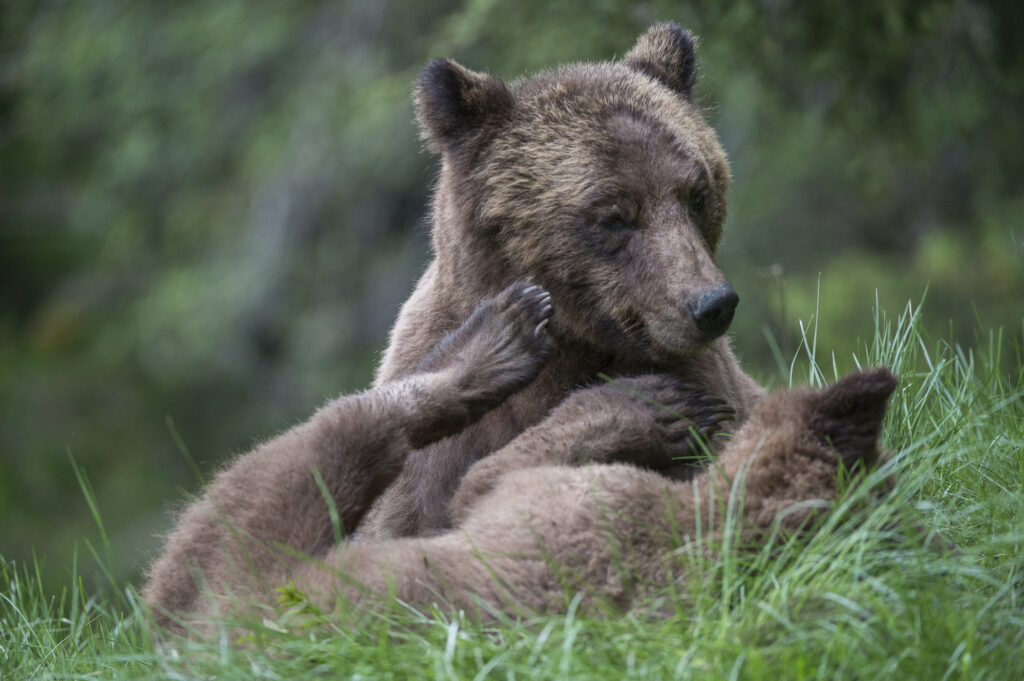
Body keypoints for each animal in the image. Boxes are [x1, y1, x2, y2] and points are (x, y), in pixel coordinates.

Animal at [141, 279, 897, 631]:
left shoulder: (571, 516)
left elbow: (484, 480)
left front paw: (649, 407)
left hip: (245, 560)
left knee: (341, 437)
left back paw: (496, 338)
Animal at [357, 22, 763, 539]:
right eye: (614, 215)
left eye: (697, 195)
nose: (711, 305)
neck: (573, 339)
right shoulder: (430, 422)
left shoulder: (700, 375)